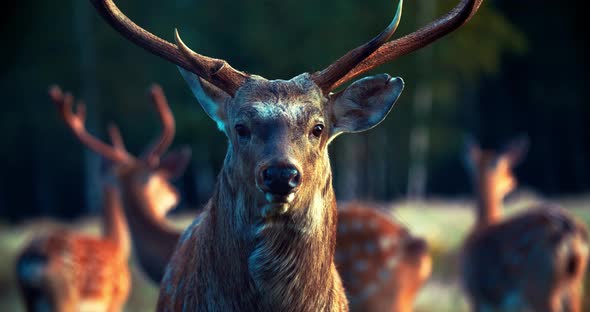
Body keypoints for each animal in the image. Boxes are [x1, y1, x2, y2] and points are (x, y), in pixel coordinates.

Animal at [464, 138, 588, 312]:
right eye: (507, 170)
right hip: (573, 286)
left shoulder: (477, 297)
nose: (512, 180)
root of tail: (569, 228)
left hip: (539, 284)